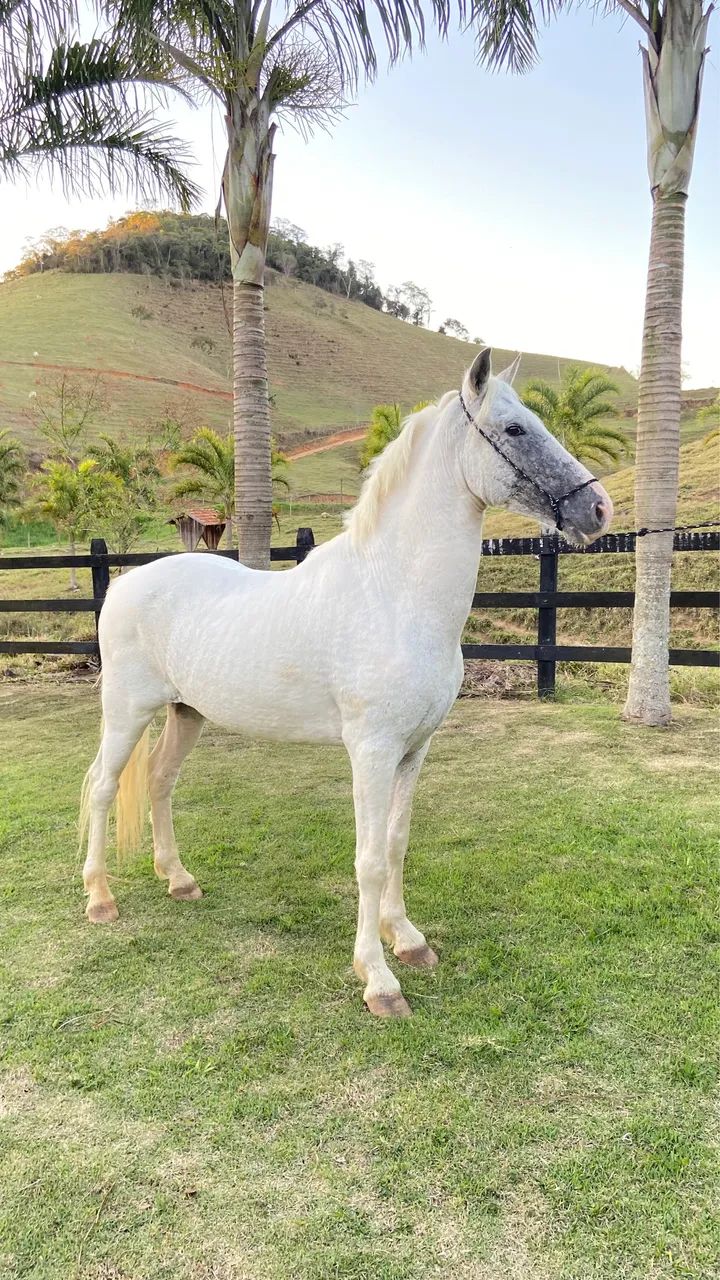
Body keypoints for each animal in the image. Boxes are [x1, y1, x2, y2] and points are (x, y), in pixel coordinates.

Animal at [79, 348, 613, 1017]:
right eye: (515, 429)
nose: (599, 510)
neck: (394, 595)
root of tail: (125, 583)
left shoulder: (413, 751)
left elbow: (396, 843)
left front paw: (407, 940)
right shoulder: (372, 751)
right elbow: (369, 860)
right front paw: (378, 979)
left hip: (185, 713)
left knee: (158, 783)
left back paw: (179, 881)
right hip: (127, 712)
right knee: (102, 788)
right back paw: (100, 899)